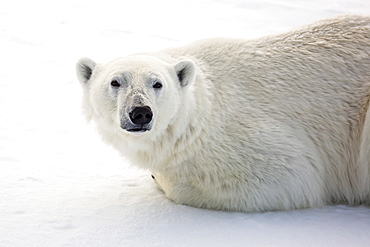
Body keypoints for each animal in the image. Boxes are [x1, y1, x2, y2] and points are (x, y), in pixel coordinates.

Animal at [76, 15, 370, 212]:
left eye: (157, 83)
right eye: (115, 82)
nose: (140, 113)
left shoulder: (248, 136)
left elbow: (292, 176)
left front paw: (160, 176)